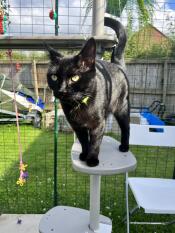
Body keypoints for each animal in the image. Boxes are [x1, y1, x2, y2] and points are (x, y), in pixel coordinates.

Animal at [45, 17, 129, 167]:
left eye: (74, 77)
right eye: (54, 77)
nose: (61, 90)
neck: (80, 104)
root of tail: (117, 64)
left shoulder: (98, 124)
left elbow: (95, 142)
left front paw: (92, 159)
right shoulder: (77, 126)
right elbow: (84, 141)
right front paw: (84, 154)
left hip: (122, 107)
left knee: (126, 127)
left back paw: (124, 146)